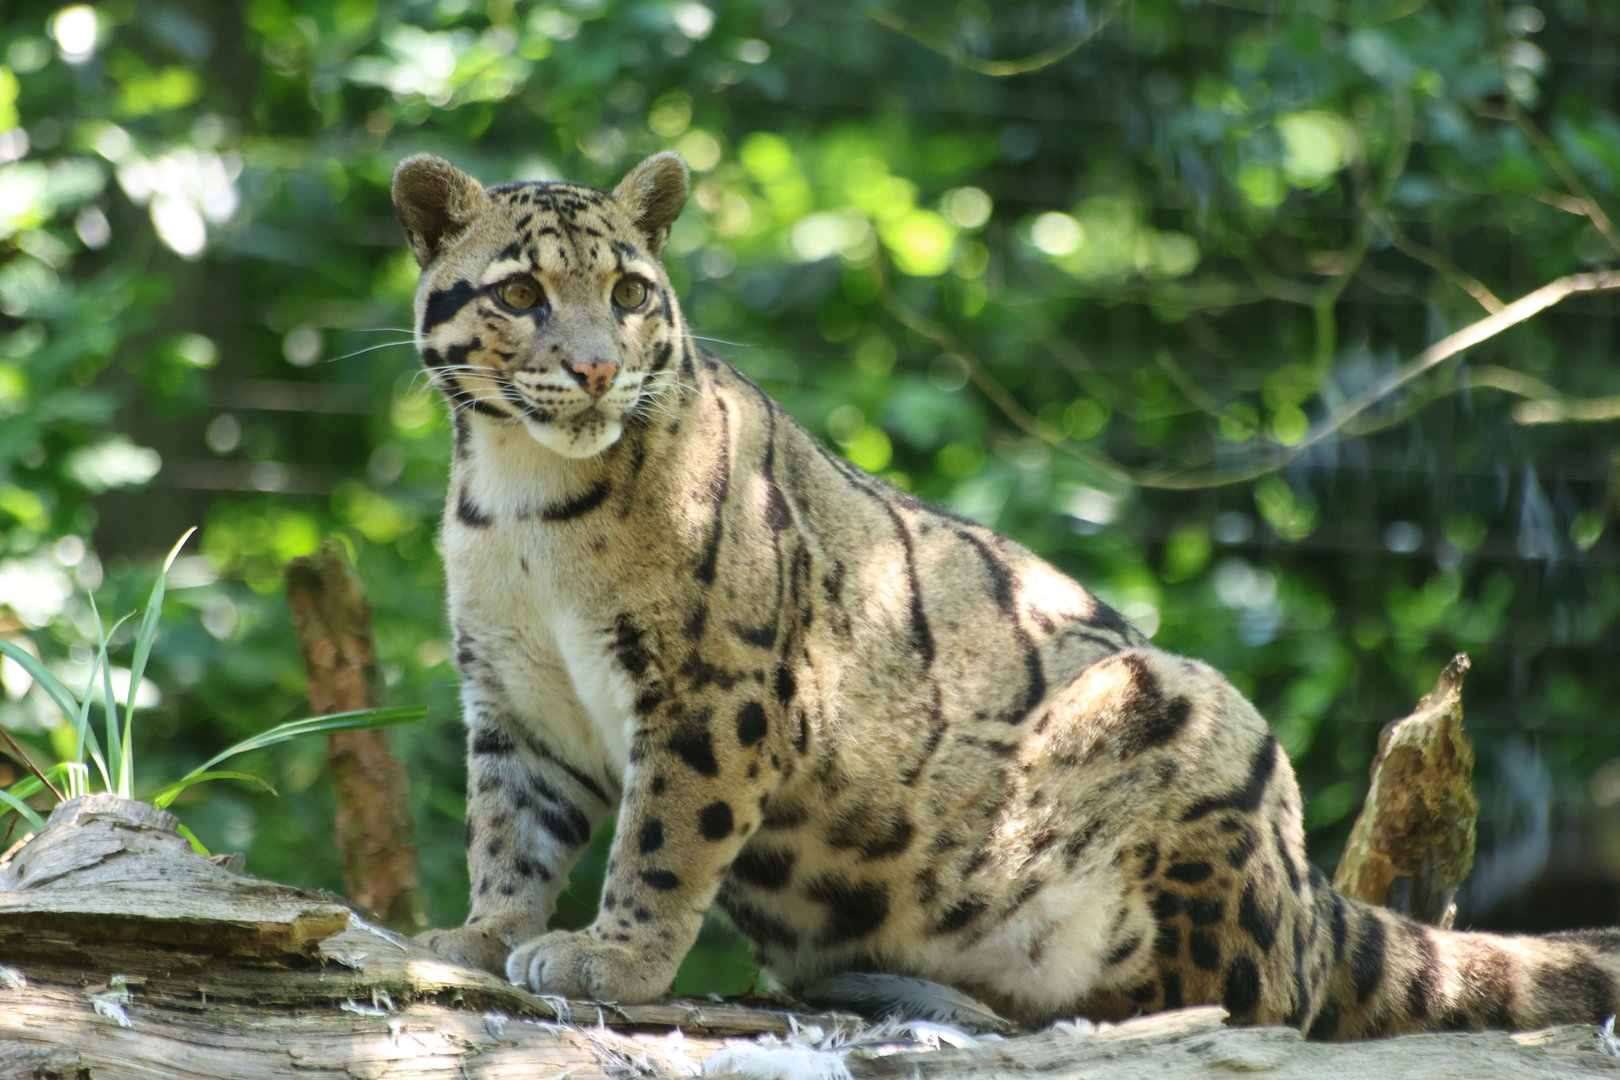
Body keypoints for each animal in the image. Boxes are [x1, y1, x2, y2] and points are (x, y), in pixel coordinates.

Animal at [390, 149, 1619, 1039]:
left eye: (630, 290)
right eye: (521, 290)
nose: (597, 367)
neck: (522, 504)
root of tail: (1313, 889)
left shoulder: (713, 686)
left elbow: (667, 832)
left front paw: (616, 955)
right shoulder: (512, 691)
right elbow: (510, 825)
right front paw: (479, 934)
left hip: (1192, 722)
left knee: (1248, 997)